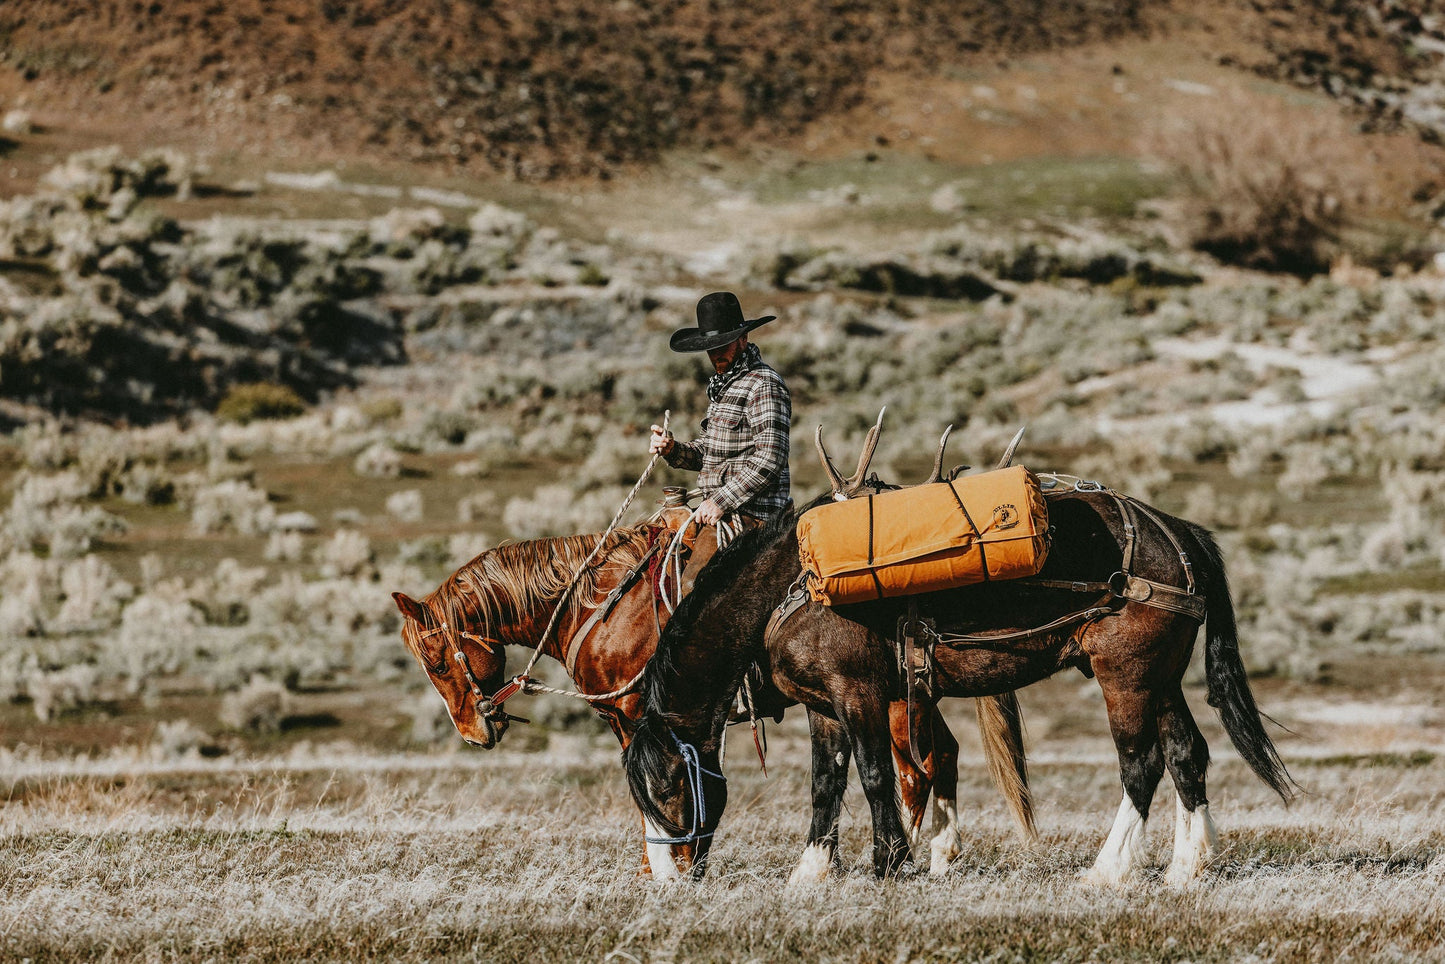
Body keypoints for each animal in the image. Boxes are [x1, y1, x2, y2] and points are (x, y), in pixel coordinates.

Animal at [390, 520, 1034, 872]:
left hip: (891, 702)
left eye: (435, 659)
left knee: (917, 768)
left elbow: (653, 789)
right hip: (909, 696)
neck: (597, 608)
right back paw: (939, 855)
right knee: (939, 756)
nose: (473, 731)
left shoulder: (636, 714)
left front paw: (663, 867)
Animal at [627, 471, 1294, 884]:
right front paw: (810, 874)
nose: (671, 876)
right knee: (1186, 754)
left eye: (668, 785)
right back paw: (1187, 868)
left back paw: (1107, 872)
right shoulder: (823, 707)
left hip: (1124, 679)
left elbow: (873, 776)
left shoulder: (858, 695)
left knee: (1143, 765)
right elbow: (825, 784)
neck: (791, 588)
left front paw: (888, 862)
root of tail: (1175, 532)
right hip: (1159, 680)